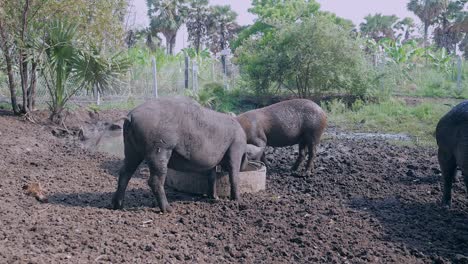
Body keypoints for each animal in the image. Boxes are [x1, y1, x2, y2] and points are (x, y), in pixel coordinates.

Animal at [113, 96, 247, 212]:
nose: (216, 198)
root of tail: (131, 115)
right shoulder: (236, 146)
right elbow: (234, 175)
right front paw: (238, 201)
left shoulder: (211, 162)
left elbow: (211, 176)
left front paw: (215, 198)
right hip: (159, 147)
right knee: (154, 180)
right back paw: (168, 209)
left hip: (131, 148)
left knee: (124, 173)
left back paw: (117, 206)